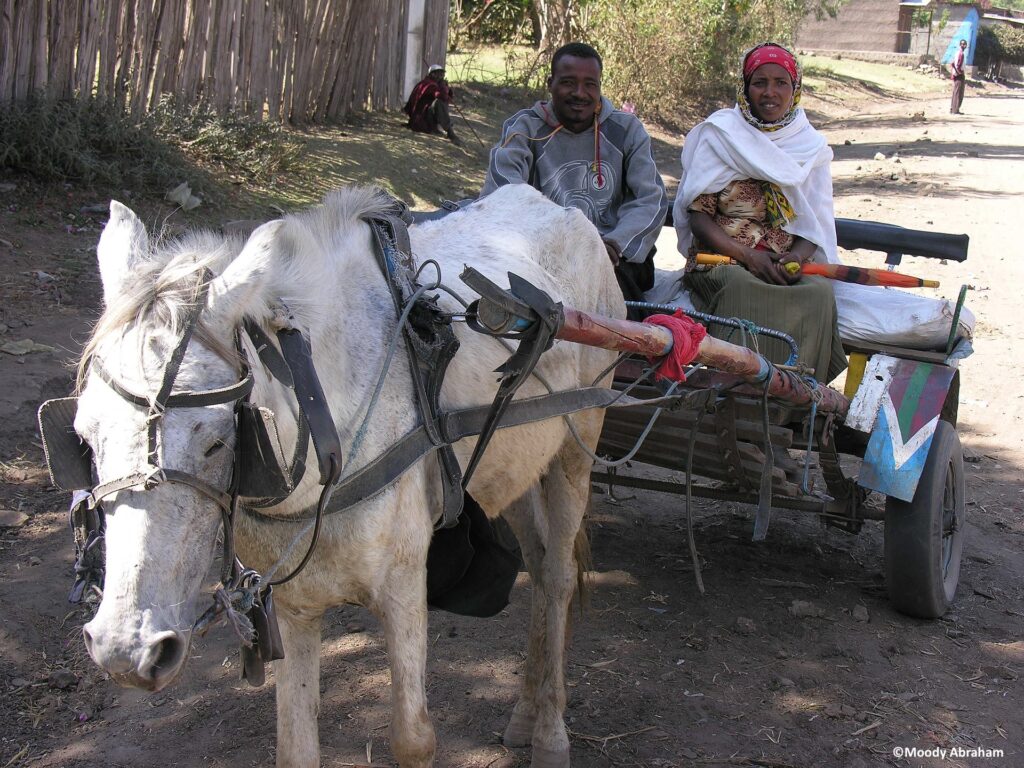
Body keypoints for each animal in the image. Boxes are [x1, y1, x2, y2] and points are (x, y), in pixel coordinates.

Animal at [72, 182, 625, 768]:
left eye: (217, 440)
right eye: (84, 438)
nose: (125, 649)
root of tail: (563, 210)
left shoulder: (404, 585)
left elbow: (413, 738)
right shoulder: (292, 606)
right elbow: (295, 747)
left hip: (577, 444)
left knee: (559, 575)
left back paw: (550, 733)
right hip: (514, 464)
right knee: (539, 567)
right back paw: (524, 714)